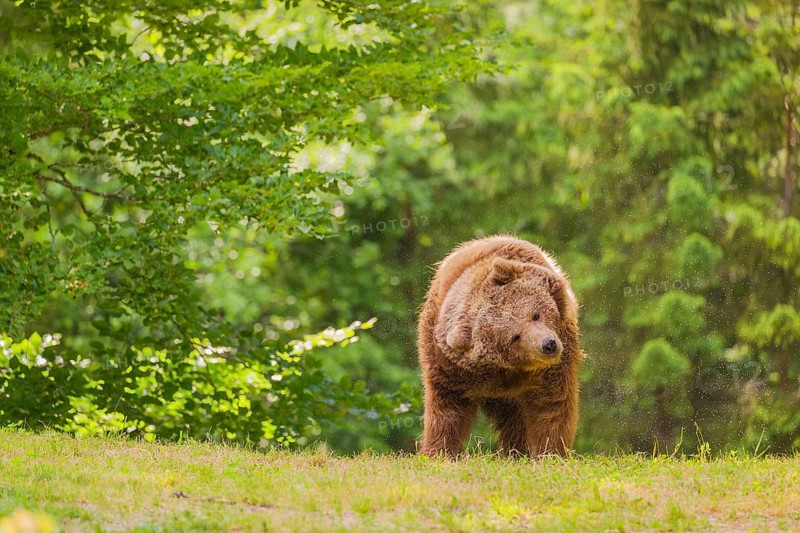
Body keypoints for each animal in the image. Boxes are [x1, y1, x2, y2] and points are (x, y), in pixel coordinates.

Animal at [417, 234, 582, 458]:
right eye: (515, 337)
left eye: (535, 315)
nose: (548, 345)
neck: (507, 370)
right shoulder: (450, 368)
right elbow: (446, 408)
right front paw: (437, 452)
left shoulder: (554, 363)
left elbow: (551, 404)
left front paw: (551, 451)